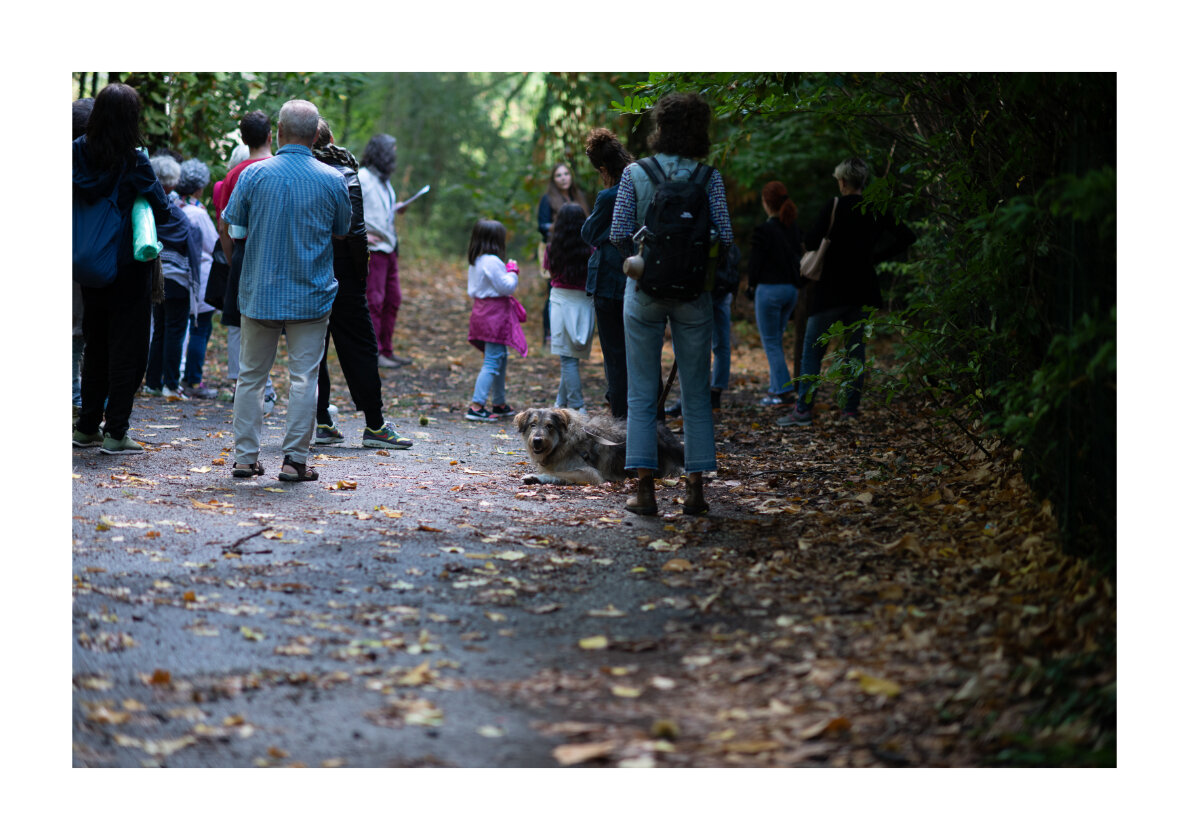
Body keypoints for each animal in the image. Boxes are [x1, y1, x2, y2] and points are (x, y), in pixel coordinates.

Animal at [513, 406, 689, 485]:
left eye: (550, 426)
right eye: (533, 425)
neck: (562, 444)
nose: (537, 440)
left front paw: (536, 477)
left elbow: (558, 473)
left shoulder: (590, 473)